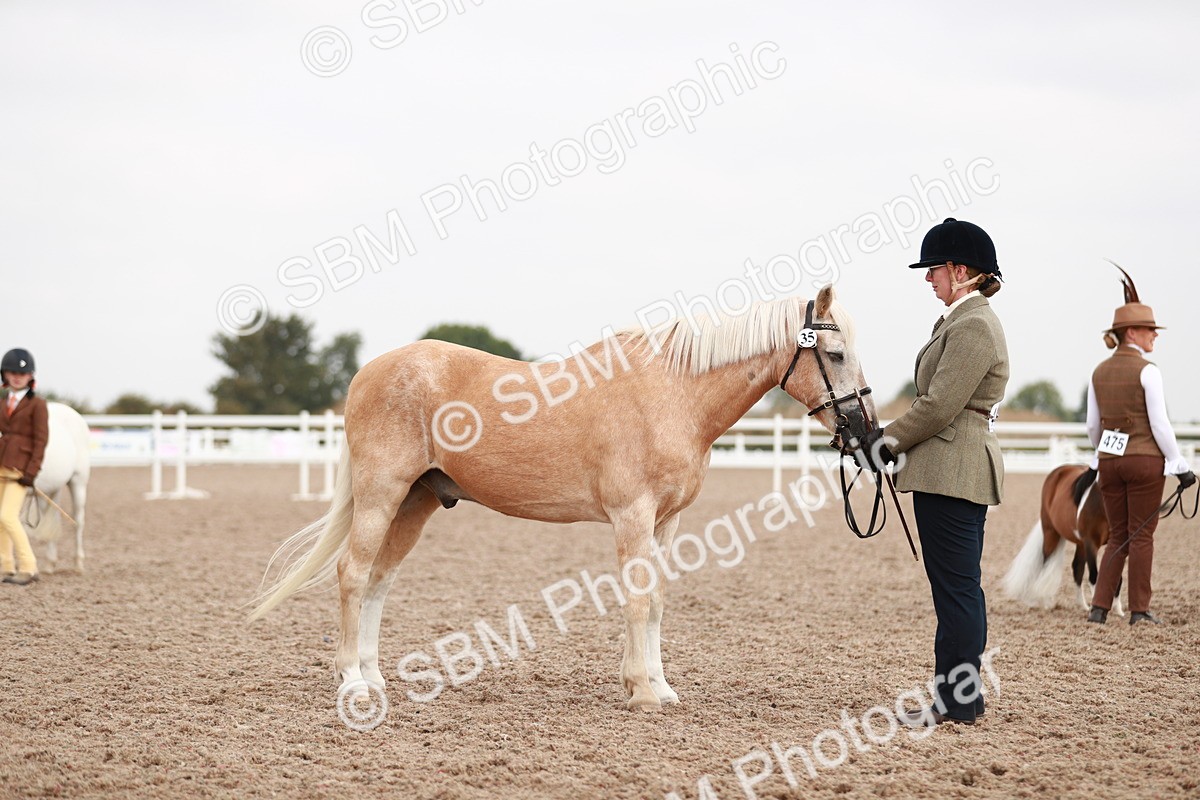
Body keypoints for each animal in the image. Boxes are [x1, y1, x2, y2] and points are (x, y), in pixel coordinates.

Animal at [23, 402, 91, 572]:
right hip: (49, 490)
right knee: (51, 519)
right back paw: (49, 563)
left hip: (78, 482)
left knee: (78, 521)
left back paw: (78, 563)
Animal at [250, 286, 876, 712]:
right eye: (835, 353)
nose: (864, 431)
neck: (673, 394)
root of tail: (367, 374)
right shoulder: (632, 517)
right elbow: (637, 599)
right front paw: (642, 691)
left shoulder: (668, 522)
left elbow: (658, 601)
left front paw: (659, 686)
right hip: (382, 494)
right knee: (352, 575)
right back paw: (354, 683)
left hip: (414, 503)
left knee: (379, 582)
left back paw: (373, 676)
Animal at [1002, 463, 1124, 615]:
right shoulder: (1091, 543)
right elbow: (1094, 577)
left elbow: (1117, 577)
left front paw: (1119, 611)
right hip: (1051, 533)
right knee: (1046, 564)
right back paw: (1045, 603)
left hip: (1080, 543)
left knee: (1077, 568)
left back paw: (1082, 605)